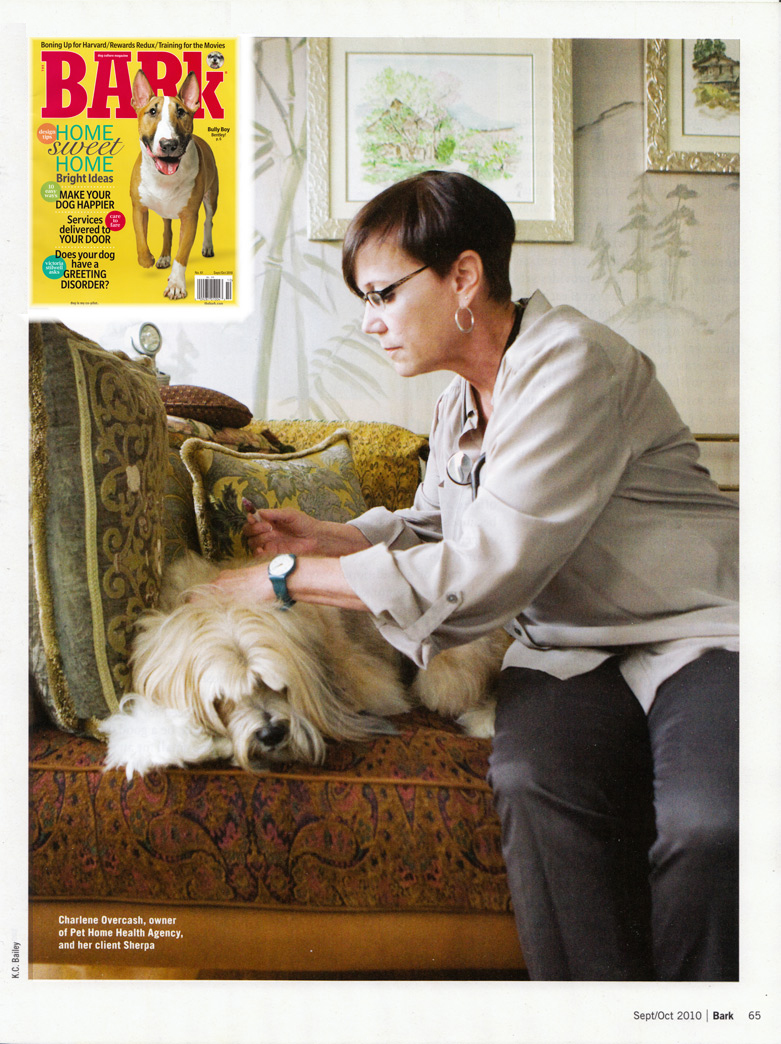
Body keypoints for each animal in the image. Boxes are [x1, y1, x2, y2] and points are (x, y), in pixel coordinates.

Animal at [101, 553, 509, 778]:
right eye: (222, 698)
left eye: (276, 684)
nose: (271, 734)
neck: (227, 607)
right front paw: (151, 743)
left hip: (445, 673)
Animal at [130, 69, 219, 300]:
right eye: (152, 111)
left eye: (181, 112)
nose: (169, 144)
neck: (164, 178)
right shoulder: (138, 207)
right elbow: (140, 238)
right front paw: (148, 260)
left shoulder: (190, 217)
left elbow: (182, 254)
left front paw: (176, 285)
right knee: (167, 229)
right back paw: (163, 257)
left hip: (211, 197)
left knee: (208, 221)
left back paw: (207, 246)